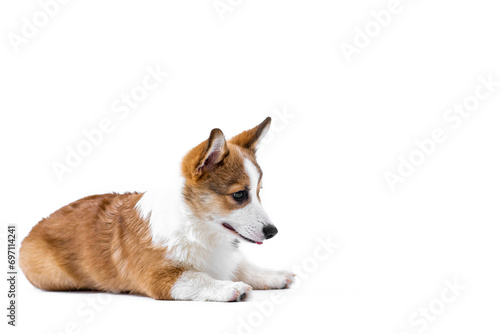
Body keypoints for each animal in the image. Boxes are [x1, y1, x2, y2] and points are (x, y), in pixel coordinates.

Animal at [19, 118, 292, 302]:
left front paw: (274, 276)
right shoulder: (160, 278)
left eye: (259, 192)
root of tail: (33, 229)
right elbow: (198, 277)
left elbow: (243, 267)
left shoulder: (226, 257)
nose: (273, 232)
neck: (196, 228)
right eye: (239, 195)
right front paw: (229, 288)